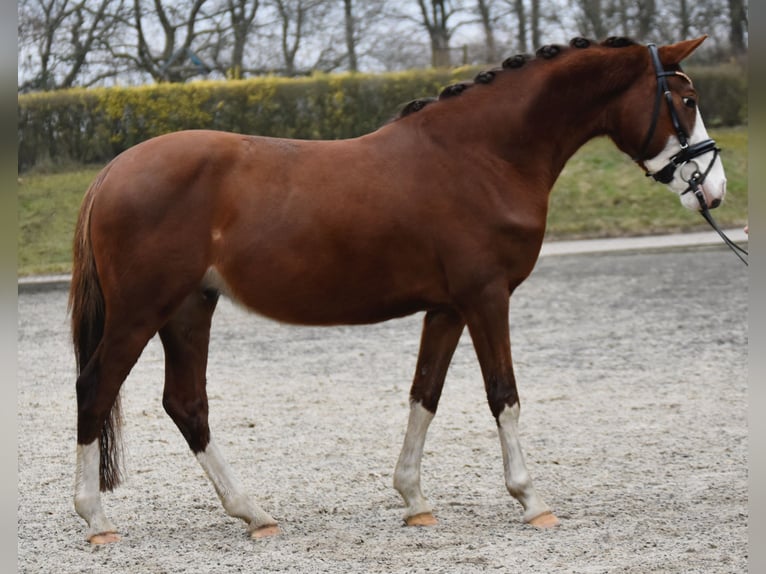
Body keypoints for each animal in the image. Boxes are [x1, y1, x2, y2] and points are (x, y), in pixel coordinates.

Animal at [70, 36, 728, 544]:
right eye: (687, 101)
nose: (713, 189)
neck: (482, 156)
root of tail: (112, 171)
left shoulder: (447, 309)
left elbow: (425, 395)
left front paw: (414, 501)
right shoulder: (487, 298)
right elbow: (503, 395)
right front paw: (531, 498)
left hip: (188, 309)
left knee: (186, 403)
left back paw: (253, 513)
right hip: (140, 313)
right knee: (95, 389)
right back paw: (96, 519)